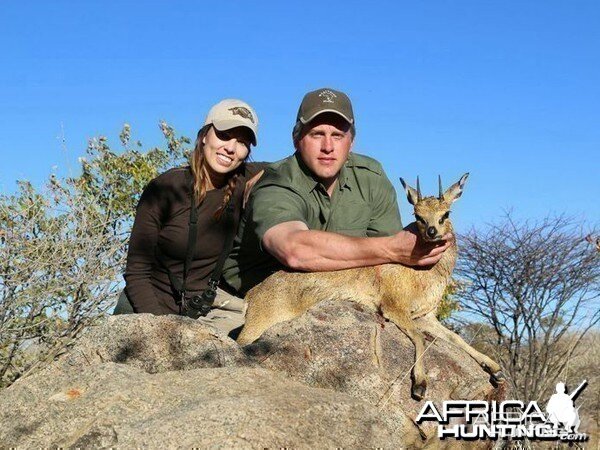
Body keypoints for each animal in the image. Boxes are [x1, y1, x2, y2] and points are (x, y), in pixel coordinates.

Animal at [237, 174, 504, 400]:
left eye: (445, 213)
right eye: (417, 215)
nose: (432, 231)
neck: (423, 276)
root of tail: (253, 294)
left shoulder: (426, 316)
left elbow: (455, 338)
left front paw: (495, 369)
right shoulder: (393, 308)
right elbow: (419, 337)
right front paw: (420, 384)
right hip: (257, 326)